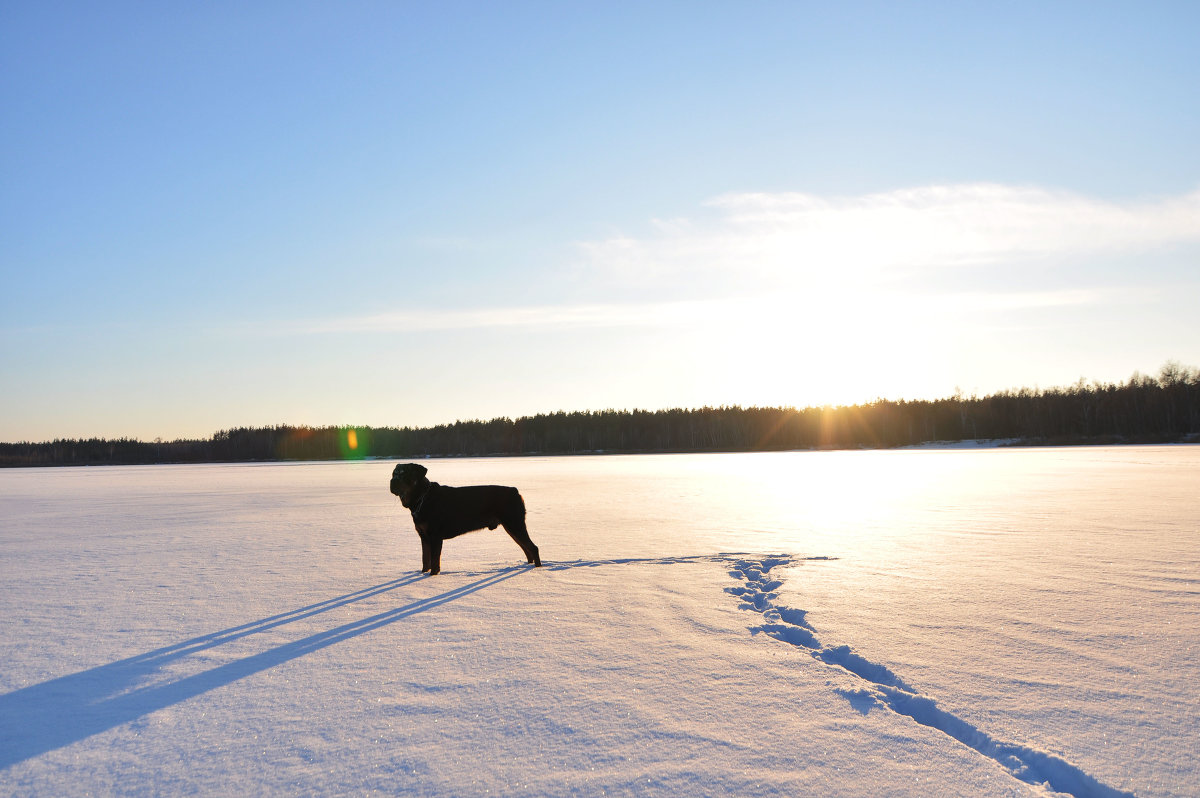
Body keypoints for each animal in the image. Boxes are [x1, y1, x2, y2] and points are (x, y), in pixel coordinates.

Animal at [391, 460, 542, 573]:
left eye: (405, 474)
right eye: (393, 474)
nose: (392, 482)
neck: (421, 499)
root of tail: (515, 491)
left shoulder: (435, 536)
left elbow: (434, 562)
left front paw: (432, 575)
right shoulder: (424, 536)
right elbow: (425, 559)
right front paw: (422, 574)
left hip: (514, 523)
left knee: (533, 548)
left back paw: (537, 568)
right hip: (511, 526)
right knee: (526, 548)